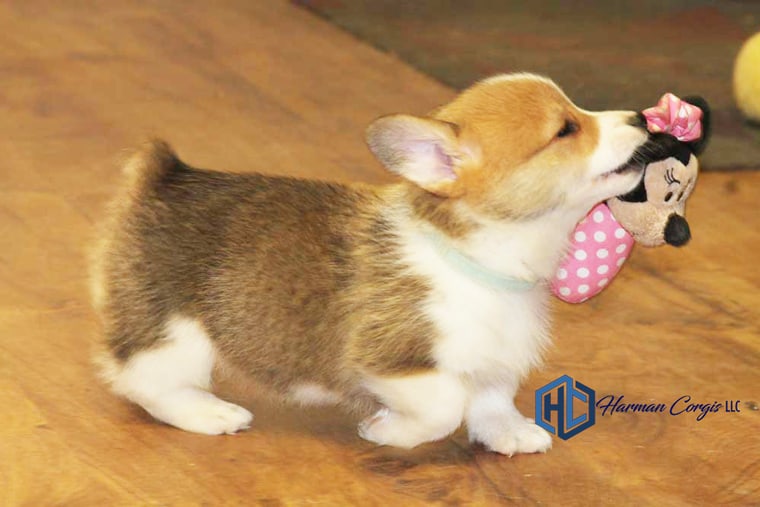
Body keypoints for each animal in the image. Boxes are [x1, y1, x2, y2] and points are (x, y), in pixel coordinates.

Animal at [89, 72, 648, 456]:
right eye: (566, 129)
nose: (642, 118)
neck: (475, 261)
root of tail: (163, 178)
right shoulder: (387, 361)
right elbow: (446, 404)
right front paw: (388, 431)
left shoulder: (496, 358)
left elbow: (492, 397)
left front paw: (508, 434)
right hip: (175, 332)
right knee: (143, 379)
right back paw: (207, 412)